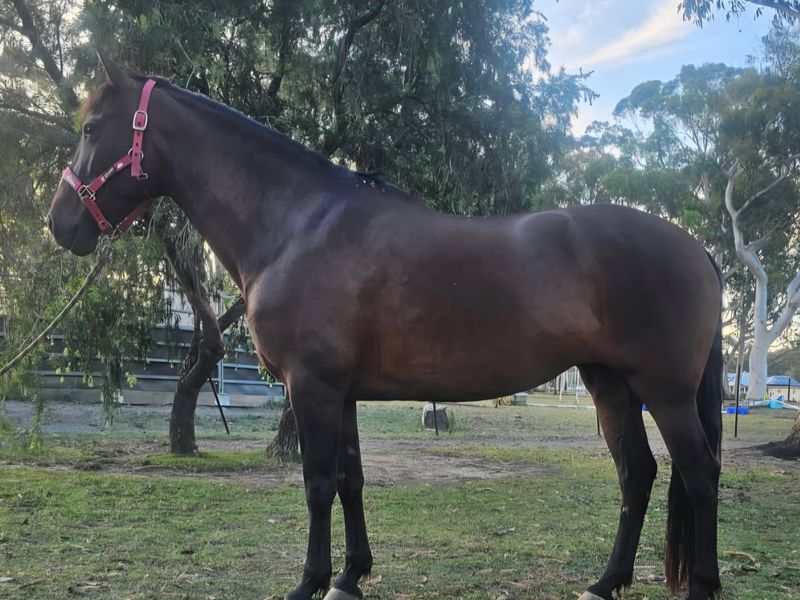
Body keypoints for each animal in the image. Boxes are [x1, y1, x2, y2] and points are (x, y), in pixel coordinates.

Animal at [48, 57, 723, 600]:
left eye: (90, 129)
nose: (61, 223)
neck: (299, 223)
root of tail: (697, 249)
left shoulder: (312, 387)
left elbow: (318, 483)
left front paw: (309, 582)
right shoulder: (340, 392)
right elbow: (351, 480)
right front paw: (350, 576)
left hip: (664, 393)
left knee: (700, 474)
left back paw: (700, 586)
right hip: (611, 387)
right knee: (638, 475)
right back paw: (605, 583)